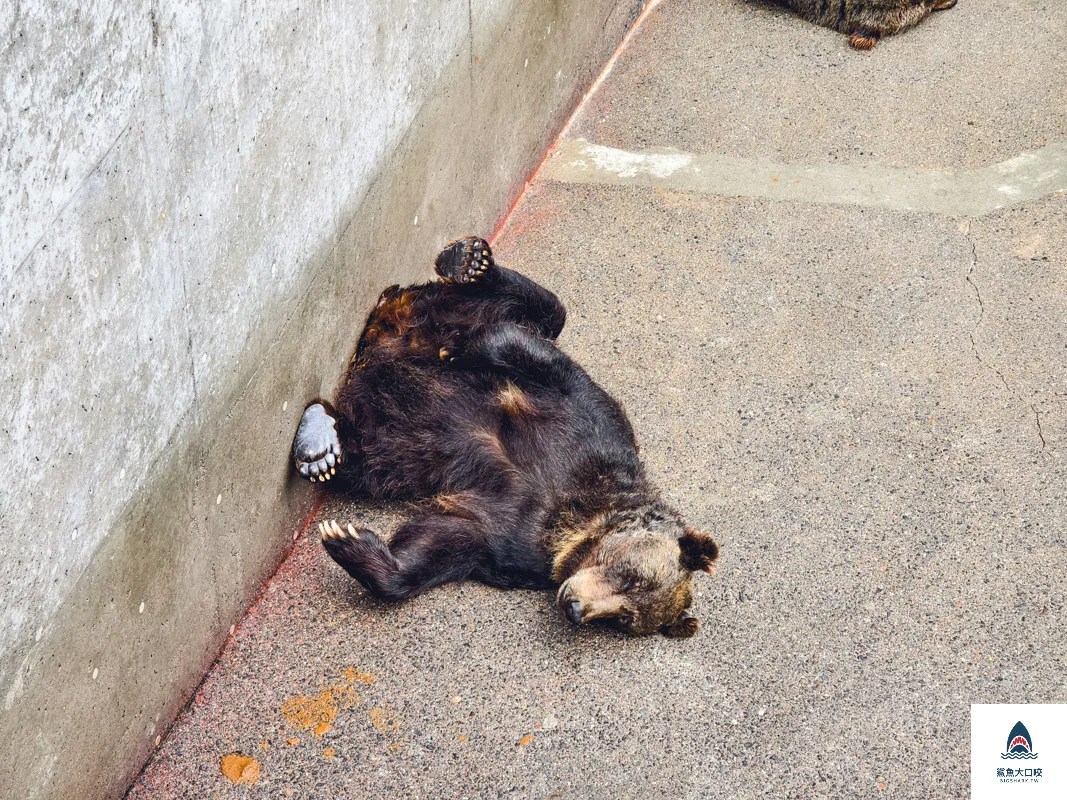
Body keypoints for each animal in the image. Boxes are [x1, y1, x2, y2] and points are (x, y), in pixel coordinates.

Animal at [291, 236, 719, 637]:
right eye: (630, 576)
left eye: (623, 619)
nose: (575, 608)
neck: (572, 514)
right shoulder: (589, 422)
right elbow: (518, 344)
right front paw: (459, 347)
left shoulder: (509, 536)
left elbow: (442, 541)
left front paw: (349, 540)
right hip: (428, 315)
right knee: (539, 309)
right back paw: (468, 262)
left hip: (388, 445)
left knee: (363, 457)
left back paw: (322, 449)